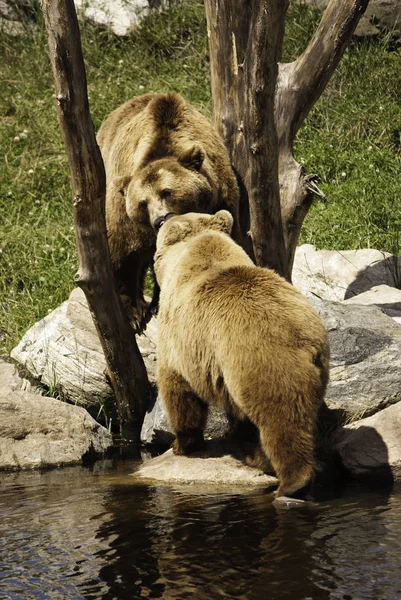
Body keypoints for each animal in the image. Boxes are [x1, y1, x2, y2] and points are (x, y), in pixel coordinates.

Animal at [96, 91, 241, 330]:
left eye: (167, 192)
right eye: (142, 203)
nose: (160, 219)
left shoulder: (220, 197)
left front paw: (158, 302)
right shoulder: (125, 216)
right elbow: (122, 254)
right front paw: (133, 313)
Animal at [153, 211, 328, 496]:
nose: (162, 216)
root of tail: (305, 342)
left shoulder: (178, 338)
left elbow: (178, 389)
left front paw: (183, 444)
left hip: (262, 360)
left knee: (280, 420)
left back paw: (289, 482)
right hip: (318, 367)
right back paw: (258, 458)